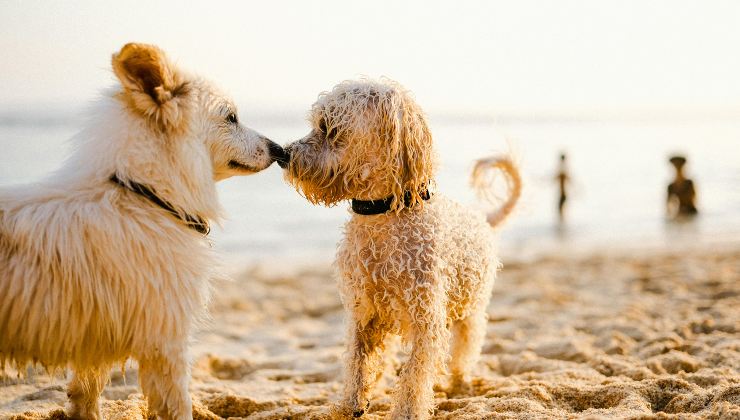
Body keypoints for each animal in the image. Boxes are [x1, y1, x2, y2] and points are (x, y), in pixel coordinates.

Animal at [0, 43, 284, 420]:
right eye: (231, 117)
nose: (279, 149)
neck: (146, 195)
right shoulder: (166, 340)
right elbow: (177, 405)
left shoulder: (97, 341)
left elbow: (85, 394)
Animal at [282, 78, 520, 416]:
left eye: (329, 127)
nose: (284, 154)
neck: (381, 215)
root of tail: (482, 219)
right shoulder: (362, 311)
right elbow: (357, 361)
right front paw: (350, 404)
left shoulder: (426, 320)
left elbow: (414, 375)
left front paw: (407, 411)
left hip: (471, 310)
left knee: (465, 348)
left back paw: (461, 382)